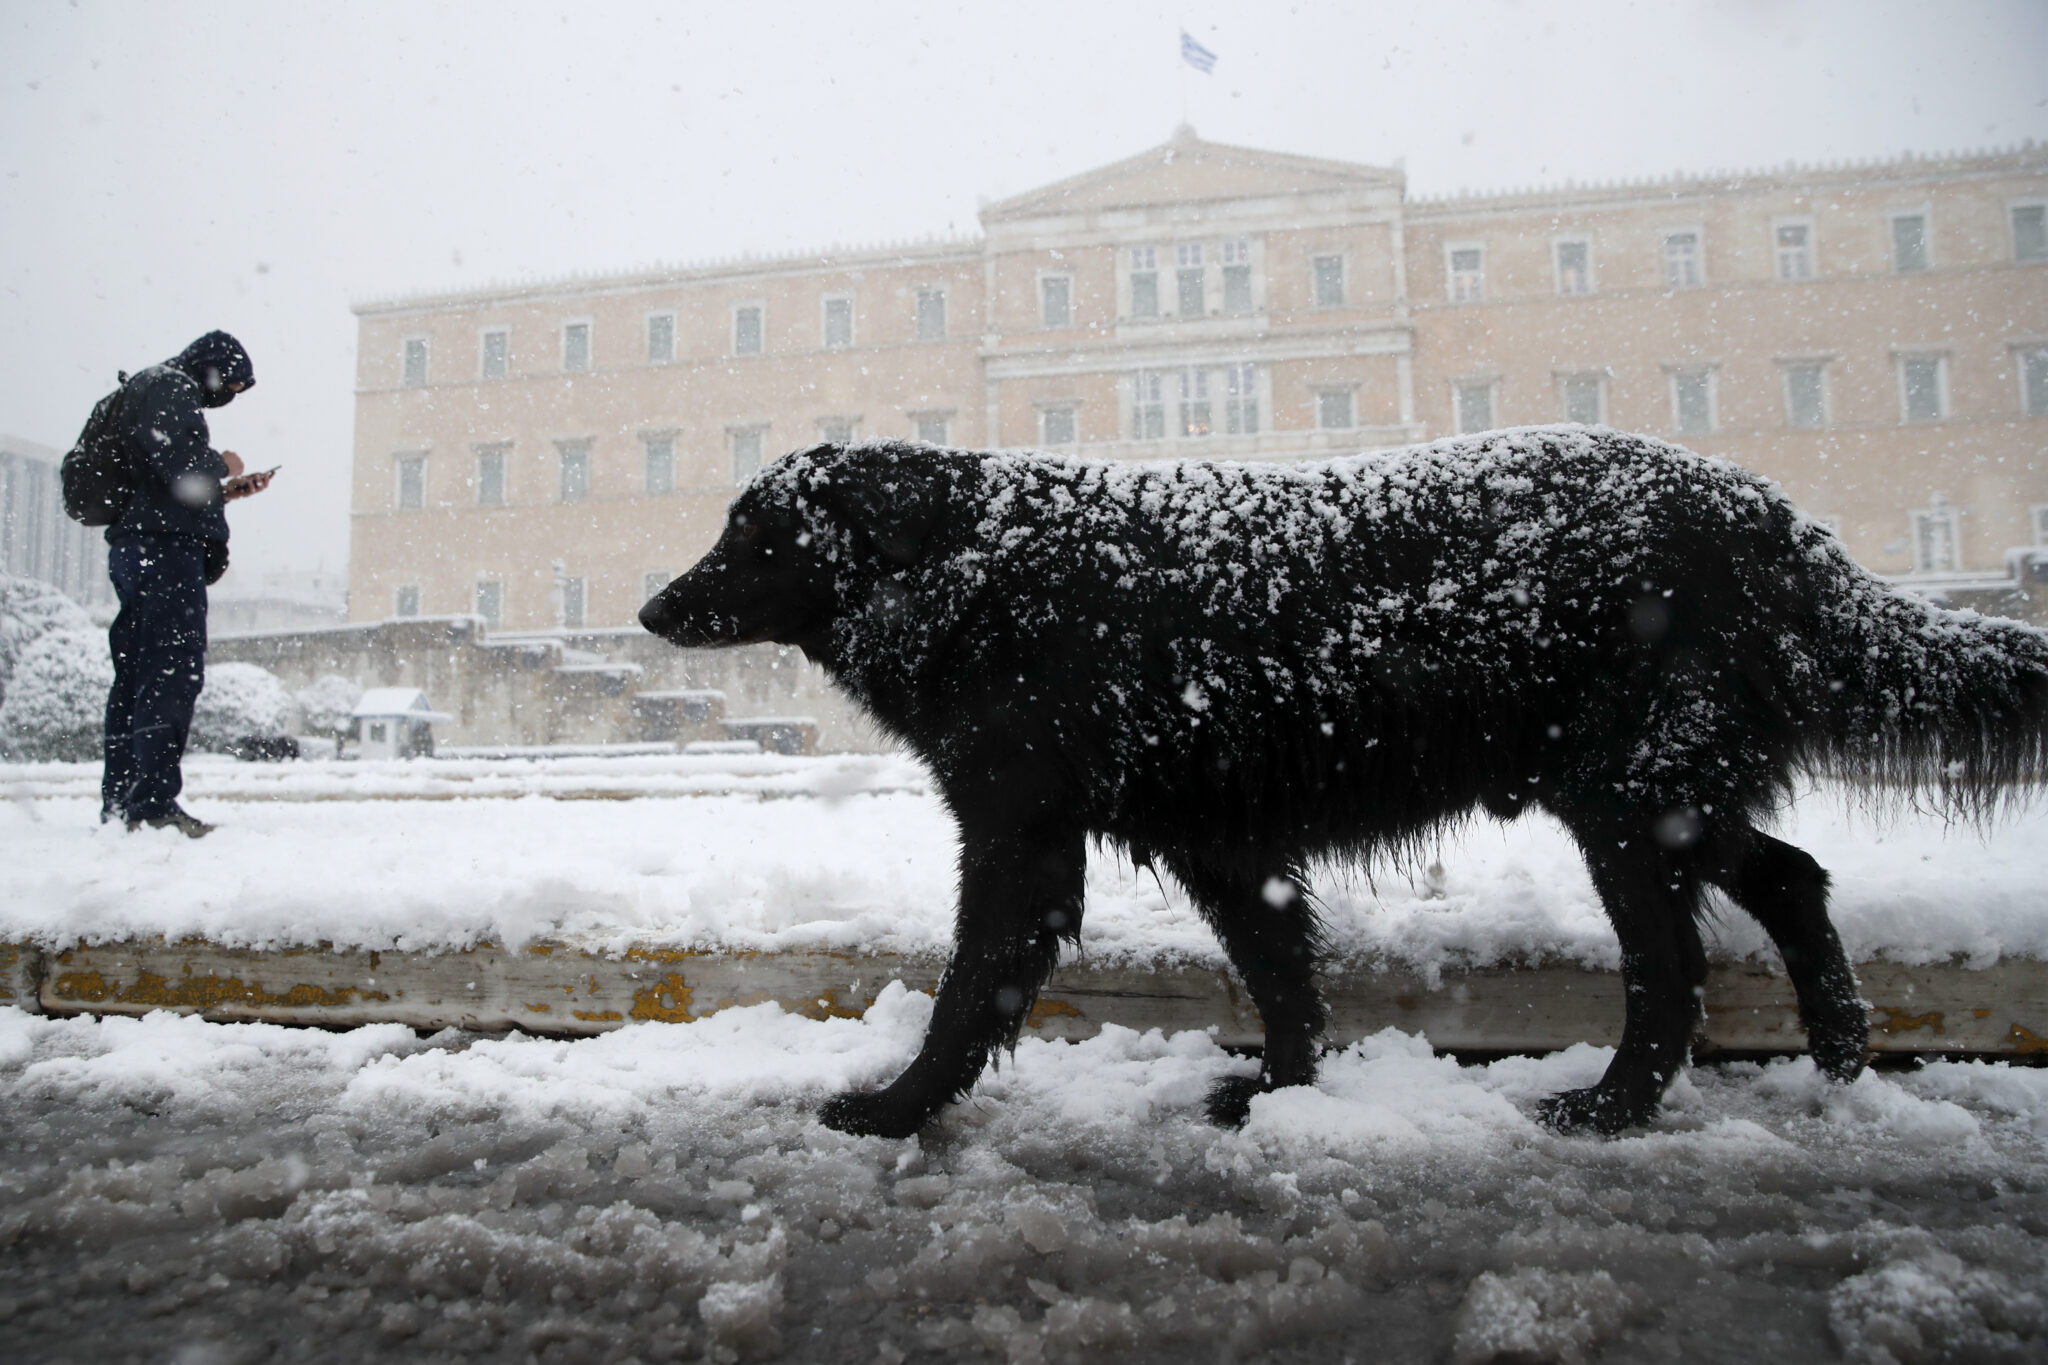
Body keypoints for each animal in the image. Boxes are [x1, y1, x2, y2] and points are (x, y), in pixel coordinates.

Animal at [638, 431, 2048, 1137]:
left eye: (755, 532)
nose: (652, 606)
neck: (985, 566)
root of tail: (1786, 529)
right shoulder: (1217, 844)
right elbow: (1281, 976)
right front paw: (1279, 1095)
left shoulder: (1020, 834)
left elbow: (968, 991)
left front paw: (891, 1110)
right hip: (1666, 801)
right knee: (1794, 877)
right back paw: (1841, 1061)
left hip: (1629, 813)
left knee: (1671, 973)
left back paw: (1608, 1108)